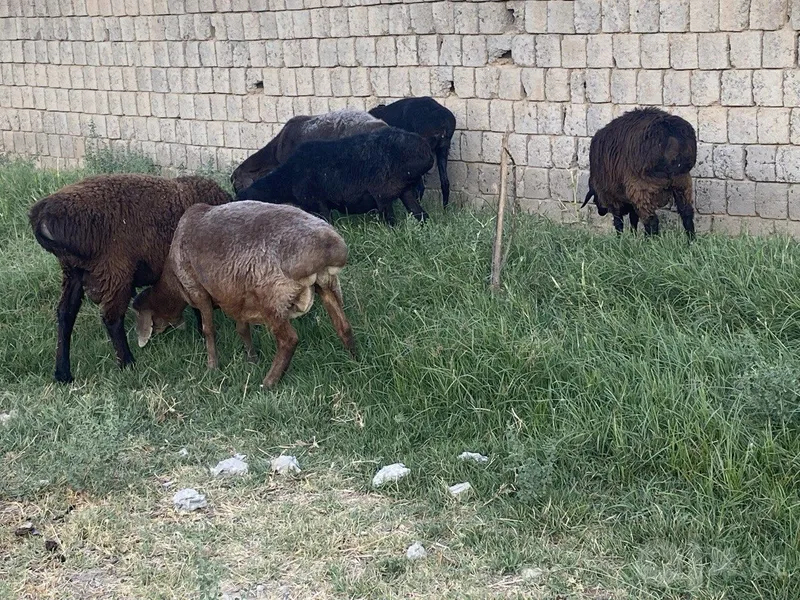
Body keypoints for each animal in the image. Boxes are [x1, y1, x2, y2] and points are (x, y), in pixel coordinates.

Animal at [28, 173, 232, 383]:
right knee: (111, 318)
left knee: (65, 314)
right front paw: (202, 334)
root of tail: (43, 217)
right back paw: (127, 363)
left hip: (73, 272)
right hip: (115, 271)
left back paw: (63, 373)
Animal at [131, 201, 357, 388]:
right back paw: (354, 360)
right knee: (343, 326)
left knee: (289, 340)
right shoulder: (238, 298)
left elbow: (208, 330)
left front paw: (212, 366)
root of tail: (329, 248)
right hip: (328, 285)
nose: (153, 337)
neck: (174, 282)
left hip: (272, 300)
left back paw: (269, 382)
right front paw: (252, 358)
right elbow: (242, 329)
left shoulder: (198, 291)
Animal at [235, 126, 435, 226]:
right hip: (405, 190)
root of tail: (425, 148)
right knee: (421, 215)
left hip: (383, 194)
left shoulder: (318, 202)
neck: (287, 179)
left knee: (392, 222)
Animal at [580, 107, 697, 238]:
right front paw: (633, 236)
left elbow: (618, 221)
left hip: (642, 187)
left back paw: (649, 241)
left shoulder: (612, 197)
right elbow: (633, 219)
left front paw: (620, 239)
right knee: (686, 213)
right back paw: (691, 240)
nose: (600, 212)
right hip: (682, 181)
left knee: (651, 220)